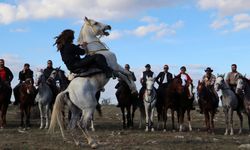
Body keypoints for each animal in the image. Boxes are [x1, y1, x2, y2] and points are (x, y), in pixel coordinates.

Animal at [48, 17, 138, 148]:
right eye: (95, 23)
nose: (109, 26)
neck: (98, 50)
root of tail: (67, 90)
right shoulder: (115, 66)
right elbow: (127, 74)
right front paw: (134, 88)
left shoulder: (115, 70)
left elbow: (125, 76)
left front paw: (133, 88)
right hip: (88, 107)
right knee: (81, 124)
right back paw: (92, 142)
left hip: (76, 110)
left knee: (72, 125)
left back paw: (78, 142)